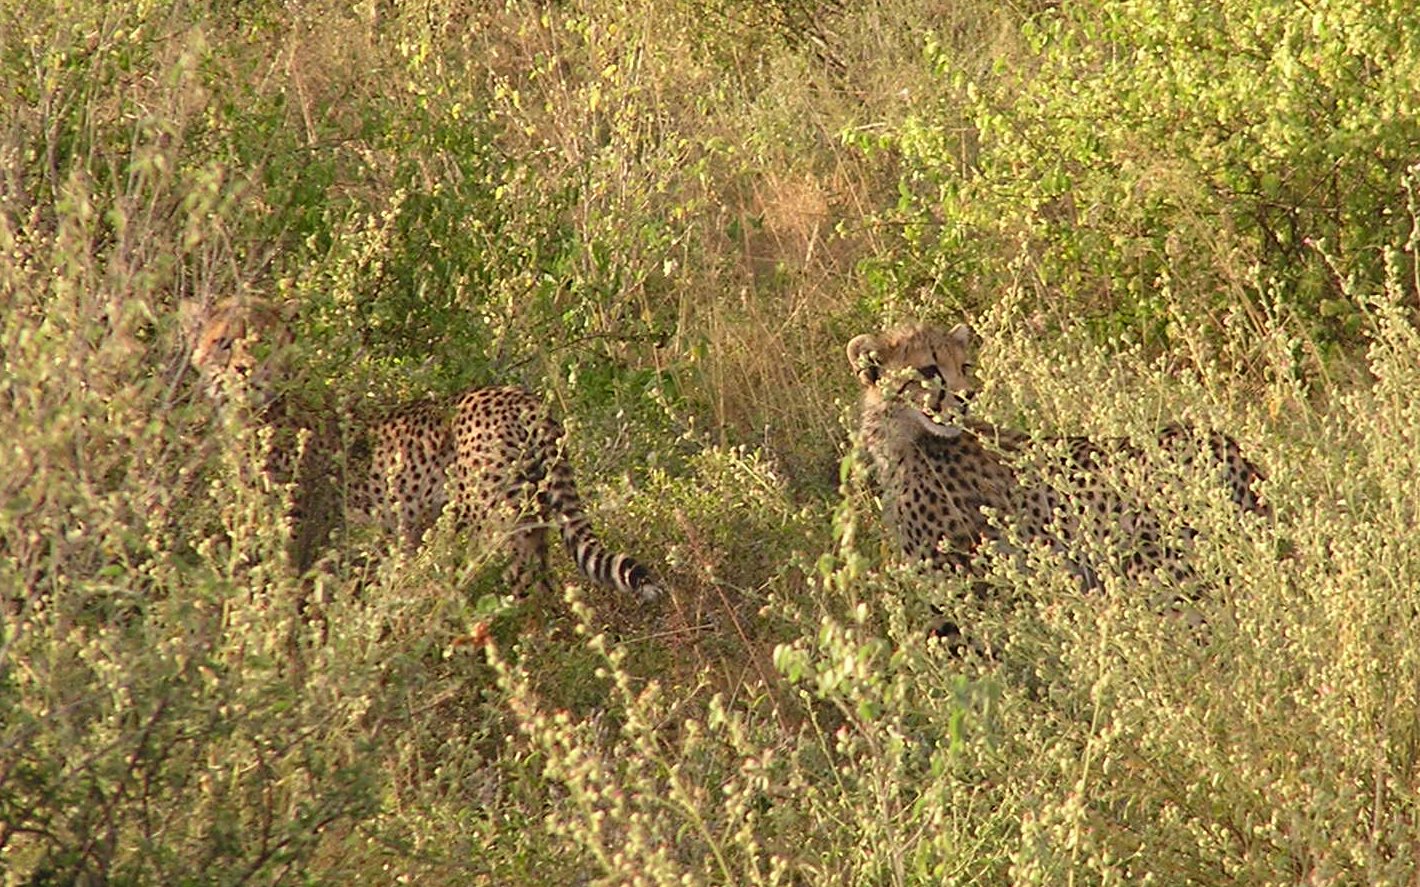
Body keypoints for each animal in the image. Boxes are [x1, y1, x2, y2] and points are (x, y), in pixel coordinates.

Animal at [181, 299, 658, 601]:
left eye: (264, 342)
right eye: (225, 343)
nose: (246, 370)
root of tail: (517, 394)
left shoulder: (300, 530)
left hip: (500, 522)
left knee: (529, 589)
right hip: (531, 511)